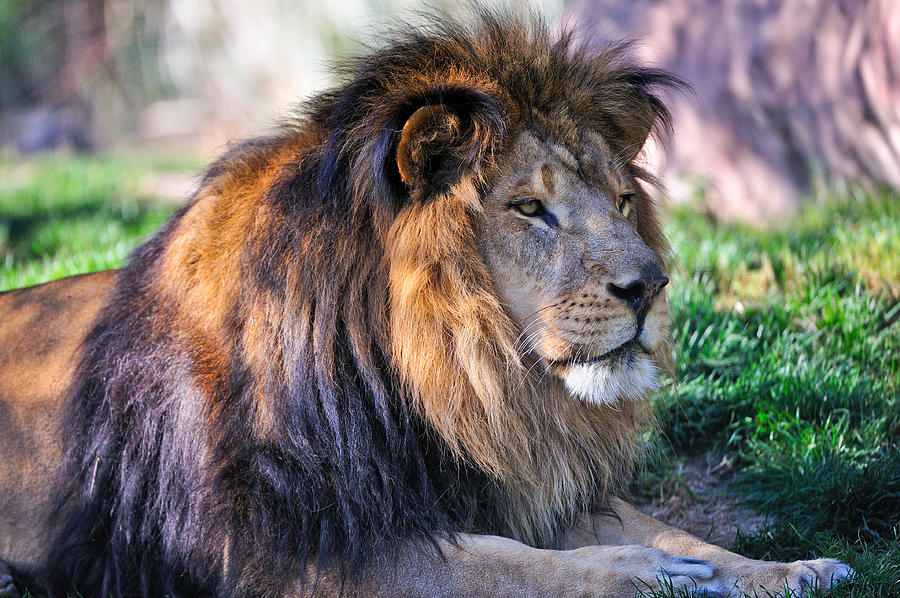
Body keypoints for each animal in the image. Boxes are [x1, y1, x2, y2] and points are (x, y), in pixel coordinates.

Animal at [0, 12, 852, 598]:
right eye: (530, 209)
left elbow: (673, 531)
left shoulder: (483, 482)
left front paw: (791, 569)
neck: (439, 379)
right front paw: (647, 574)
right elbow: (506, 570)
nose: (649, 287)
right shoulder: (286, 549)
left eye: (619, 201)